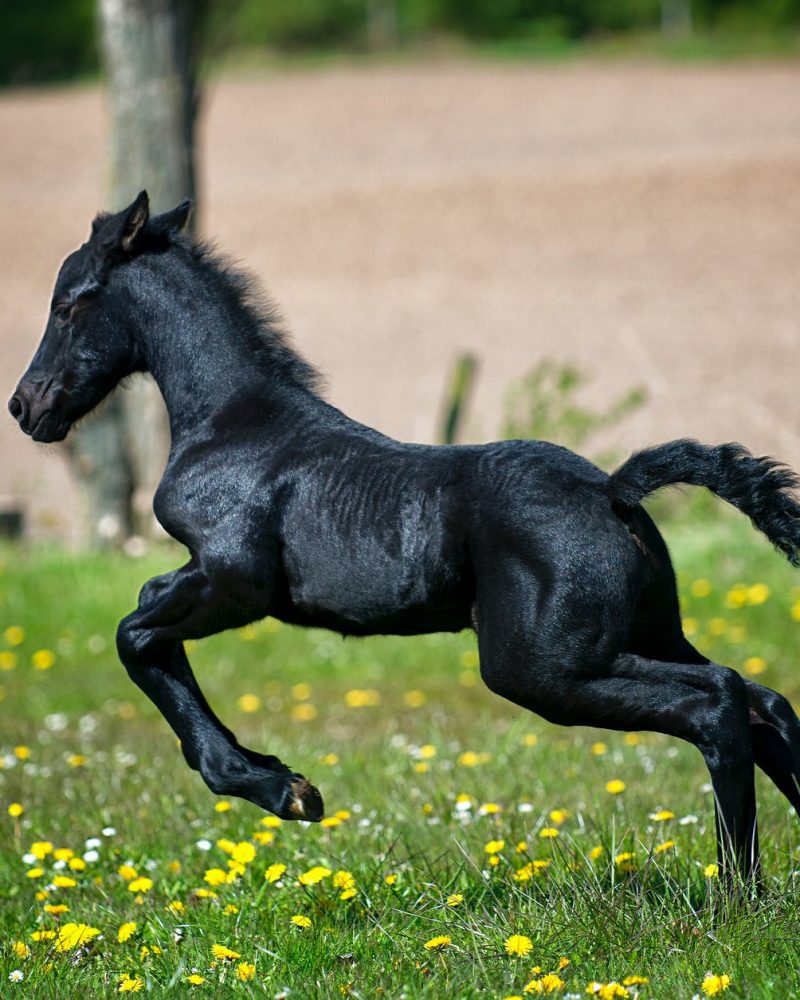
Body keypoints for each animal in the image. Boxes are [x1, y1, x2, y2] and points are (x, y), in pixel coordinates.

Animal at [10, 191, 800, 885]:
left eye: (67, 303)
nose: (25, 406)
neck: (234, 423)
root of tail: (614, 490)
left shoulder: (235, 584)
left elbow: (134, 634)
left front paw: (280, 788)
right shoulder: (199, 576)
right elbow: (147, 616)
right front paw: (275, 778)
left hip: (545, 667)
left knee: (717, 702)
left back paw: (736, 893)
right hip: (644, 634)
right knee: (763, 701)